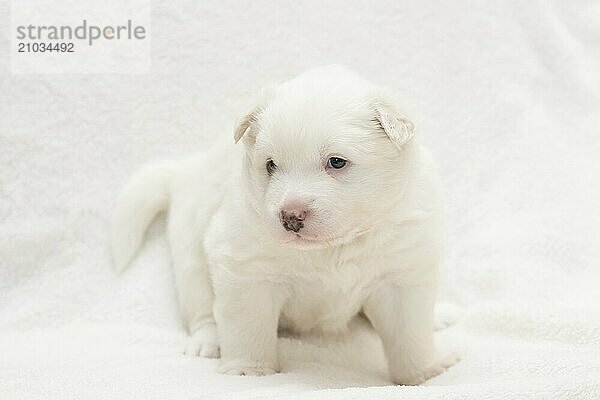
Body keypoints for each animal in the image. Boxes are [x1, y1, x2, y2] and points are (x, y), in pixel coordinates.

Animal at [113, 65, 460, 384]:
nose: (291, 216)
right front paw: (248, 370)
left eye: (336, 161)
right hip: (191, 256)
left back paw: (440, 316)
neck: (334, 249)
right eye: (271, 165)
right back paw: (207, 343)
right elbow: (248, 327)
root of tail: (184, 170)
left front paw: (424, 373)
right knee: (201, 311)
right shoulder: (245, 269)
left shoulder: (404, 271)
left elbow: (410, 332)